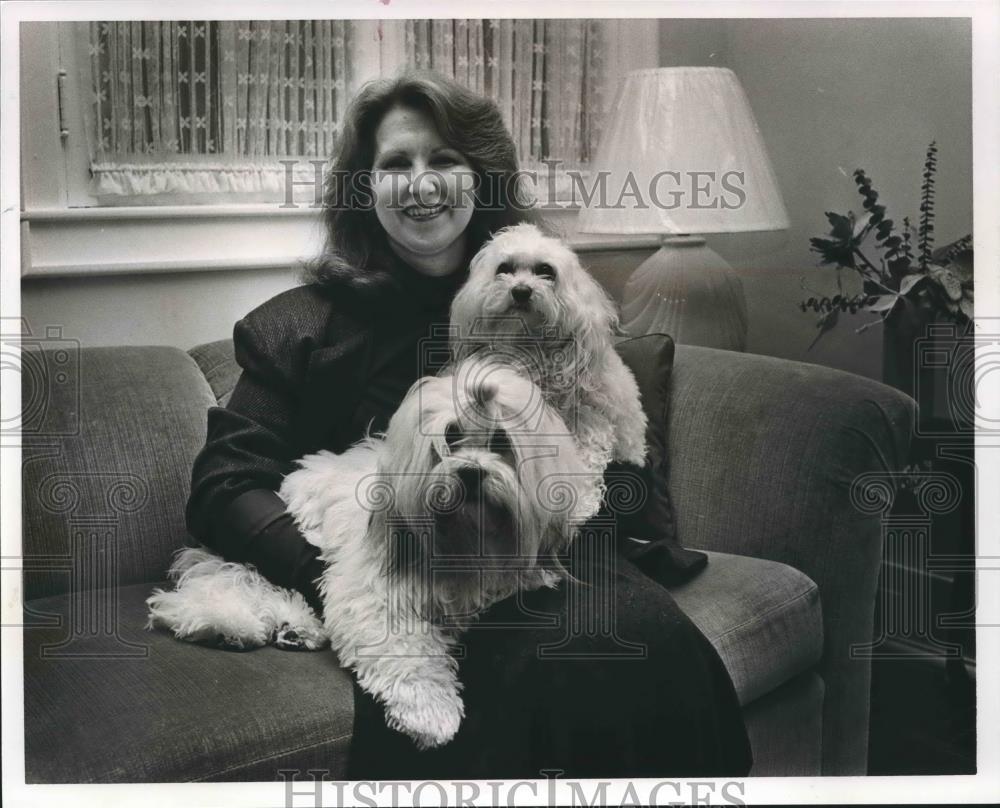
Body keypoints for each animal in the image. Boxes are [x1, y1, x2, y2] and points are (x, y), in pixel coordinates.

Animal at [146, 360, 600, 752]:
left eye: (501, 442)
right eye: (450, 439)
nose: (470, 472)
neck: (464, 540)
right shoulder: (372, 591)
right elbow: (404, 651)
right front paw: (429, 712)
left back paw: (296, 630)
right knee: (238, 584)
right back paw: (234, 625)